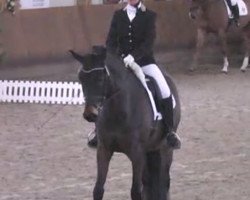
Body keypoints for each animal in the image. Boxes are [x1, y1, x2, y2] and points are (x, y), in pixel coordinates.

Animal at [69, 47, 181, 200]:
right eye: (81, 78)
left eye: (100, 78)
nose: (89, 114)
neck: (119, 111)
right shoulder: (103, 150)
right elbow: (98, 190)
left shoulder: (137, 153)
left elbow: (135, 192)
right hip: (148, 150)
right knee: (148, 182)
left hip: (165, 149)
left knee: (164, 182)